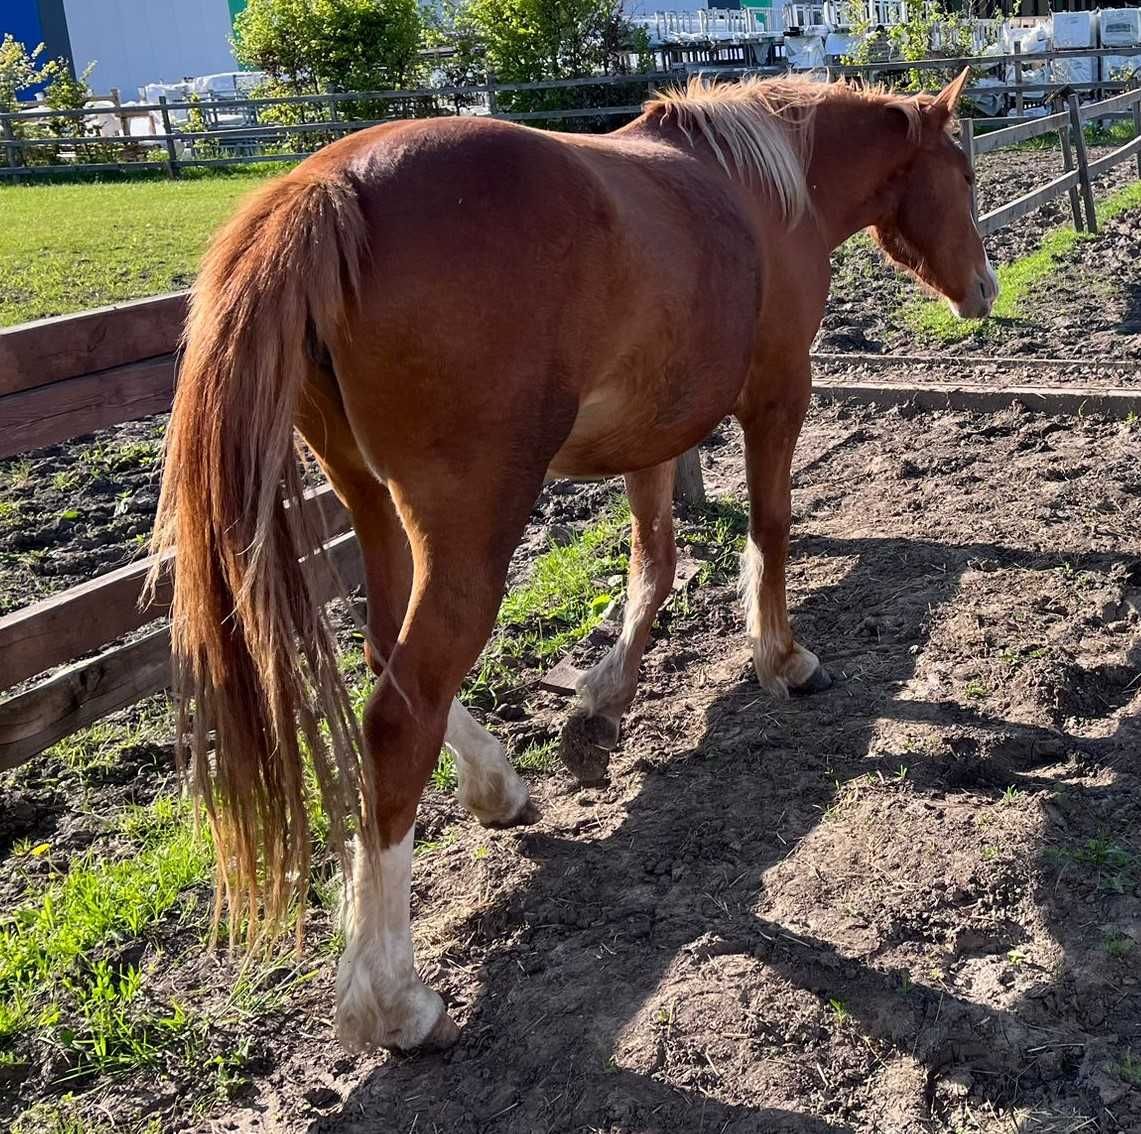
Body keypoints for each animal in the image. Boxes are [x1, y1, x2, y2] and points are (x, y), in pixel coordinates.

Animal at [154, 68, 999, 1054]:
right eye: (962, 174)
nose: (983, 288)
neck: (761, 188)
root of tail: (330, 189)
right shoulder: (777, 397)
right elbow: (769, 529)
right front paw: (781, 660)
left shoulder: (651, 433)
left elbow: (653, 563)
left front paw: (600, 704)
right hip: (470, 523)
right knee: (400, 714)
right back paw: (392, 999)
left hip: (370, 500)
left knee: (388, 664)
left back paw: (496, 786)